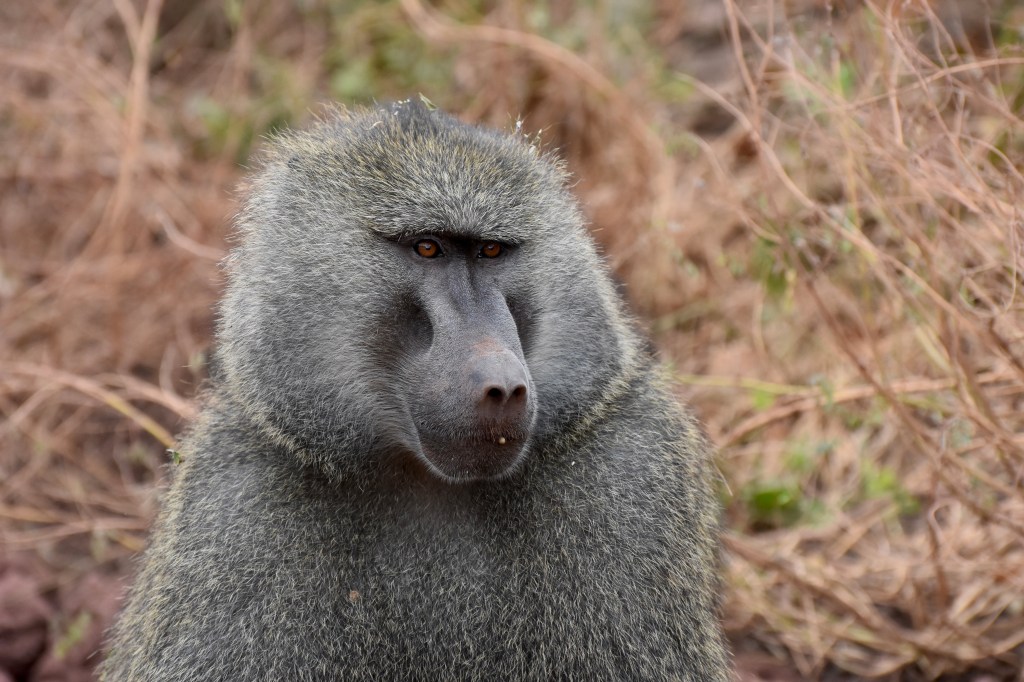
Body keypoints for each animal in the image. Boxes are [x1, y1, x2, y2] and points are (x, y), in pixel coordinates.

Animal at [101, 101, 730, 681]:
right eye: (427, 247)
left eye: (490, 250)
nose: (502, 384)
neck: (430, 481)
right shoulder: (233, 504)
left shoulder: (634, 473)